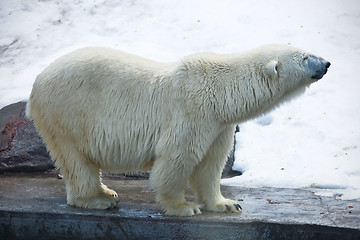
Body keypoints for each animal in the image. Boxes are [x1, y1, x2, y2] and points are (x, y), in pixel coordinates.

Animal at [26, 44, 330, 217]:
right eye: (305, 57)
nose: (326, 63)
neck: (222, 92)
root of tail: (36, 83)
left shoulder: (219, 125)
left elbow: (211, 165)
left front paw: (226, 204)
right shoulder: (192, 112)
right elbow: (177, 159)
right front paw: (183, 207)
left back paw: (105, 194)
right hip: (67, 112)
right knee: (76, 159)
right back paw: (100, 198)